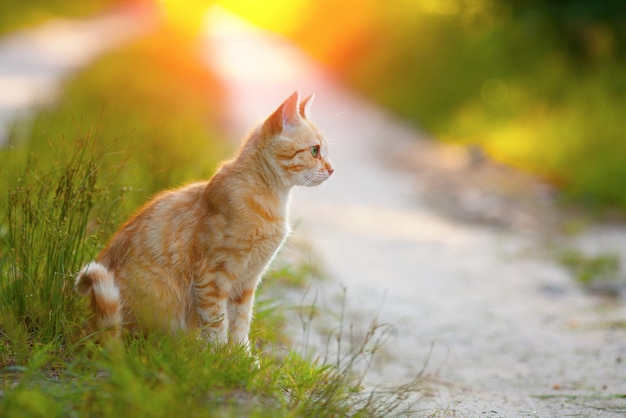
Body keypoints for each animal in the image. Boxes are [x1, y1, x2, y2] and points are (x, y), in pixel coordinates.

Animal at [75, 92, 332, 346]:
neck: (273, 198)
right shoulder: (212, 275)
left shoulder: (247, 282)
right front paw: (217, 353)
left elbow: (241, 322)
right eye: (315, 151)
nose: (332, 170)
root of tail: (90, 326)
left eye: (325, 151)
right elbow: (217, 321)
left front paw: (241, 353)